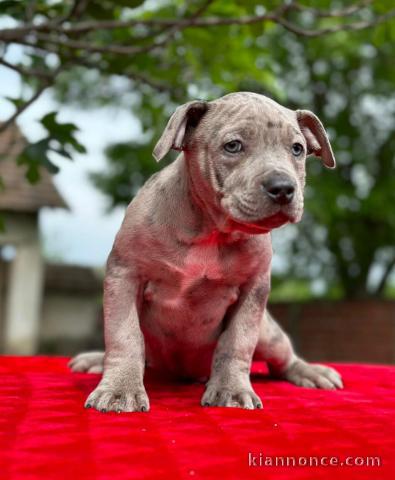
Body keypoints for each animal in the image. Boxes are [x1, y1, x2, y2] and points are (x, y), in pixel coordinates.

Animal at [70, 93, 344, 412]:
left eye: (297, 149)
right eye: (233, 146)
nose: (283, 187)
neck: (212, 231)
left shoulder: (253, 290)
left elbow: (236, 342)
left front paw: (231, 390)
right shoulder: (125, 275)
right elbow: (124, 336)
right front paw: (119, 390)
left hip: (269, 335)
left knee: (283, 360)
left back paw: (310, 371)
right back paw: (95, 361)